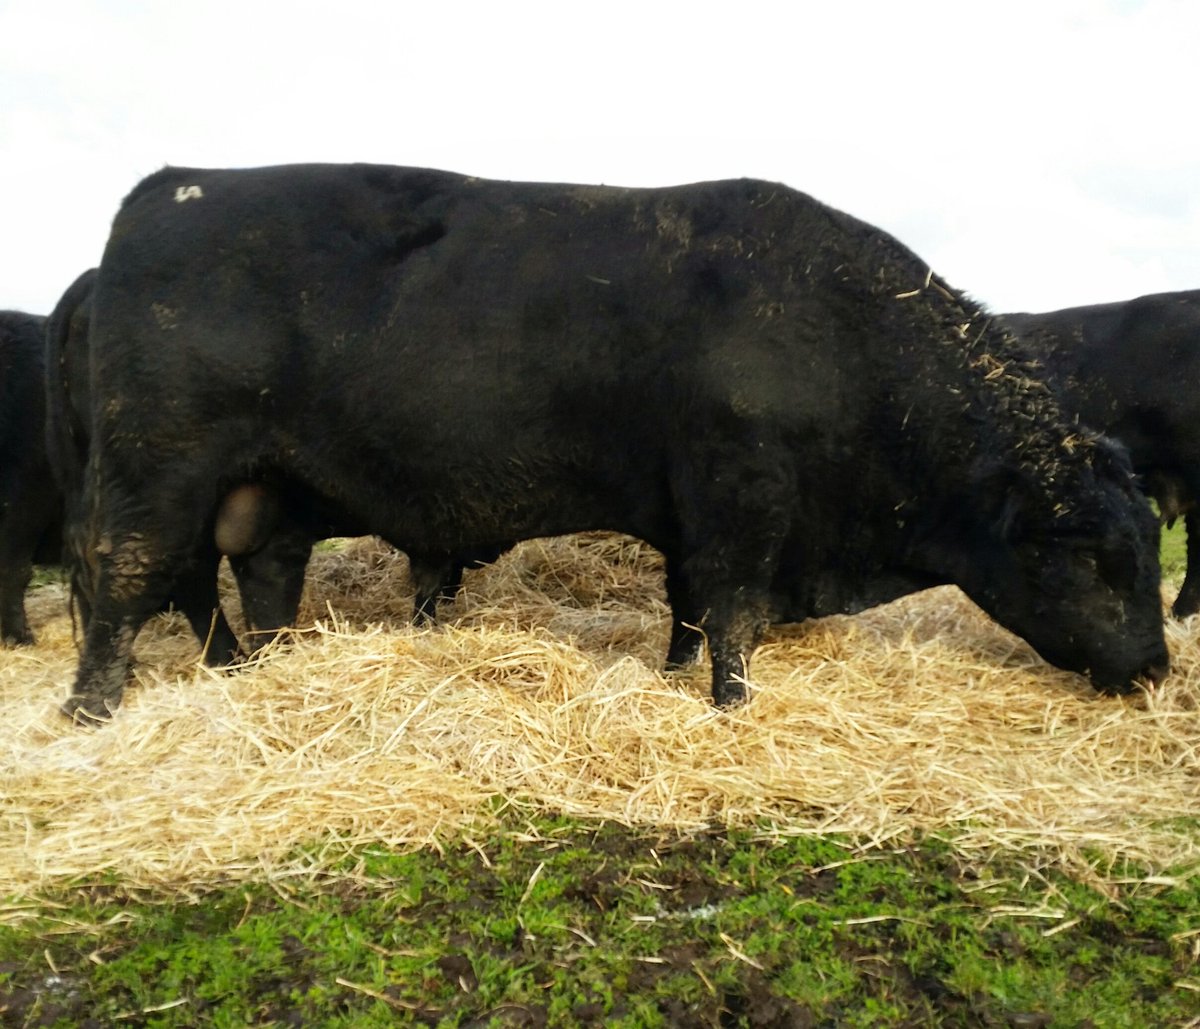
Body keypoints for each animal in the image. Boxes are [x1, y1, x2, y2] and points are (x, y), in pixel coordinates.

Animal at [57, 164, 1169, 720]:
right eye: (1097, 561)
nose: (1159, 669)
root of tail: (171, 185)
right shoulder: (741, 498)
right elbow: (732, 610)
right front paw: (729, 706)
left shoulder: (689, 508)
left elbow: (688, 607)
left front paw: (676, 679)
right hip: (160, 467)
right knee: (129, 572)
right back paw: (92, 708)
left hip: (260, 487)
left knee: (245, 577)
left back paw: (254, 672)